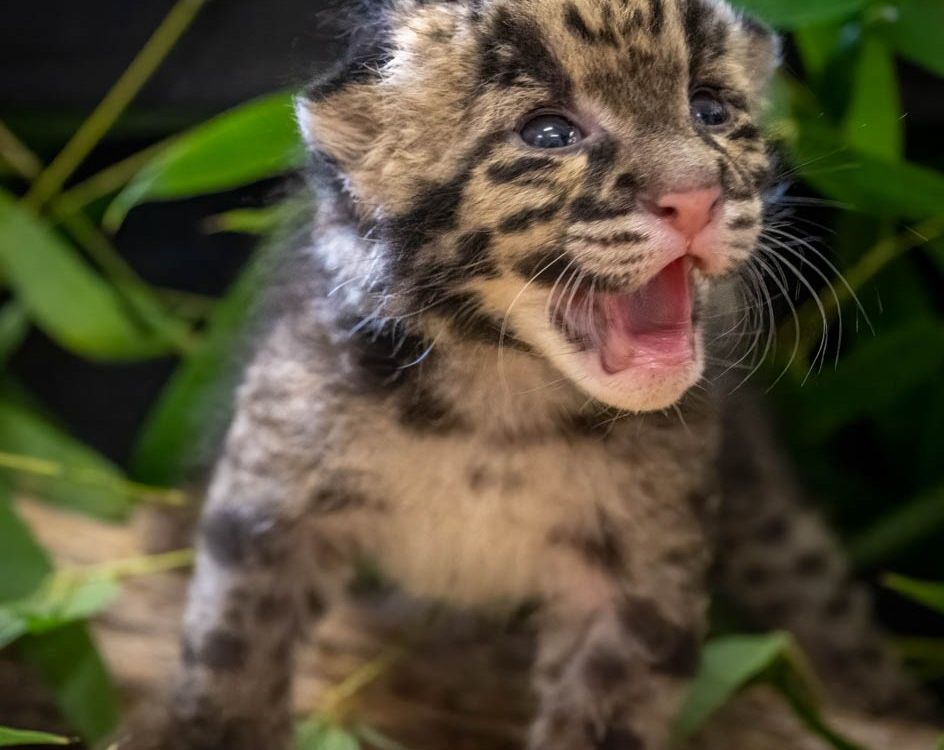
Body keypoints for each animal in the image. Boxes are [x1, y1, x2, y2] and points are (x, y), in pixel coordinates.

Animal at [118, 0, 929, 747]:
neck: (499, 400)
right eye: (548, 133)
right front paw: (211, 727)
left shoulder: (642, 573)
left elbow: (608, 717)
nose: (698, 196)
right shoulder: (272, 492)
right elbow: (231, 647)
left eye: (710, 109)